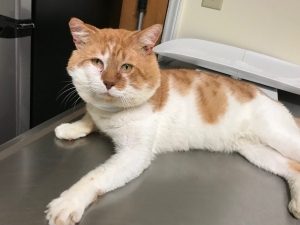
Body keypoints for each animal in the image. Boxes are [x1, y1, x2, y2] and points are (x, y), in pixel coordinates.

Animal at [45, 17, 300, 225]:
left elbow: (94, 176)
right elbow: (89, 117)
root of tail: (271, 99)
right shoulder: (97, 112)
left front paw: (68, 202)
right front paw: (71, 128)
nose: (108, 83)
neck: (111, 112)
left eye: (126, 67)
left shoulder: (134, 155)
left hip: (280, 137)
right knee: (293, 168)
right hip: (256, 151)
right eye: (97, 62)